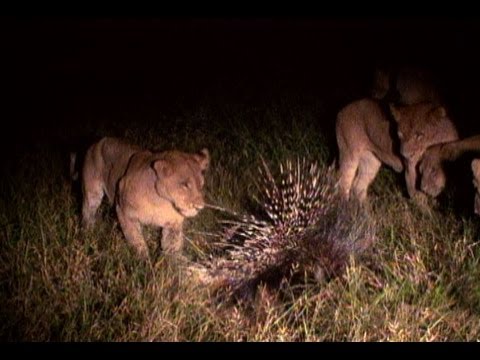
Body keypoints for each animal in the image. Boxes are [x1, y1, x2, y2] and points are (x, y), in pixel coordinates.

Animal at [79, 137, 210, 258]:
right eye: (185, 185)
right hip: (93, 193)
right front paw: (143, 261)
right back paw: (88, 233)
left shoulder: (173, 224)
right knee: (88, 212)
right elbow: (136, 240)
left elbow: (172, 247)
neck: (161, 203)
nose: (200, 206)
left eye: (201, 184)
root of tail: (99, 141)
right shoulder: (124, 211)